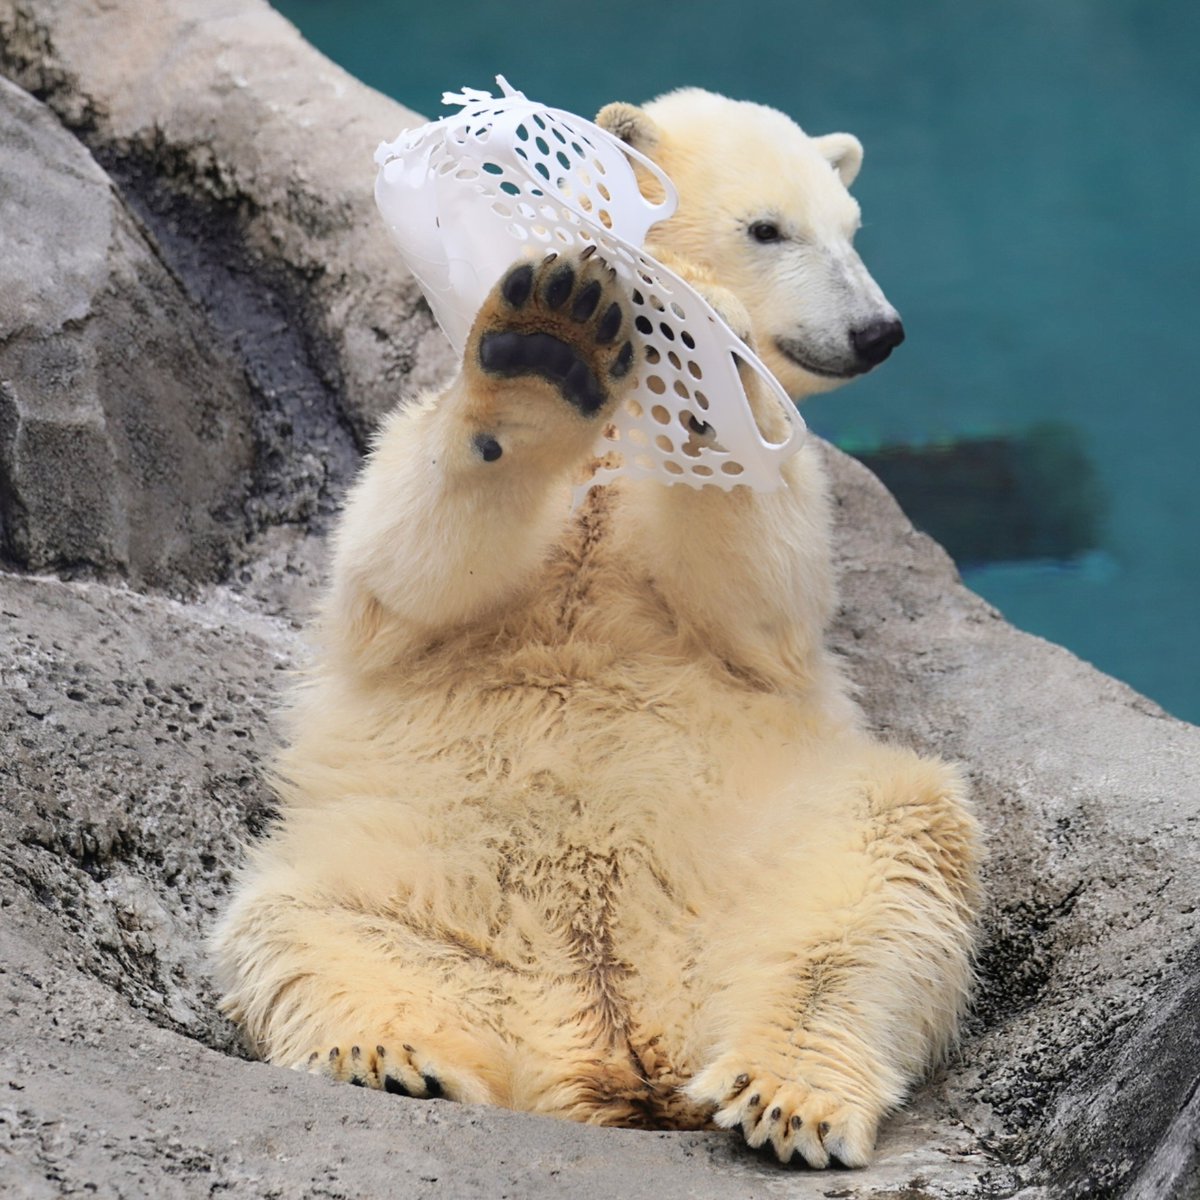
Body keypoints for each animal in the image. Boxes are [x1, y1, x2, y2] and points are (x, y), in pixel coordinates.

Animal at [211, 88, 974, 1166]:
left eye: (852, 229)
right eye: (769, 227)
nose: (878, 329)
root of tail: (615, 1040)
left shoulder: (765, 592)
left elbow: (756, 596)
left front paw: (702, 359)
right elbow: (405, 574)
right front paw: (547, 348)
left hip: (787, 853)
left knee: (866, 915)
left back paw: (787, 1094)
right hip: (391, 881)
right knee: (308, 935)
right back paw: (397, 1056)